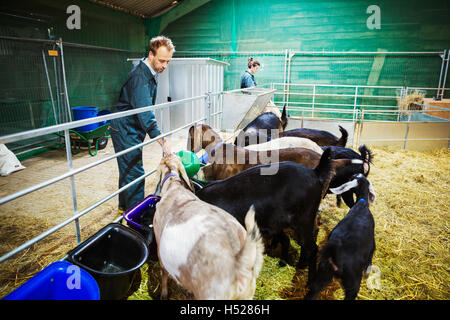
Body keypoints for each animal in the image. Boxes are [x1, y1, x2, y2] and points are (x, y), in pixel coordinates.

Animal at [196, 149, 334, 284]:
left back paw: (307, 278)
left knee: (312, 247)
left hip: (304, 220)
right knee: (290, 241)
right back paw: (284, 263)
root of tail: (315, 172)